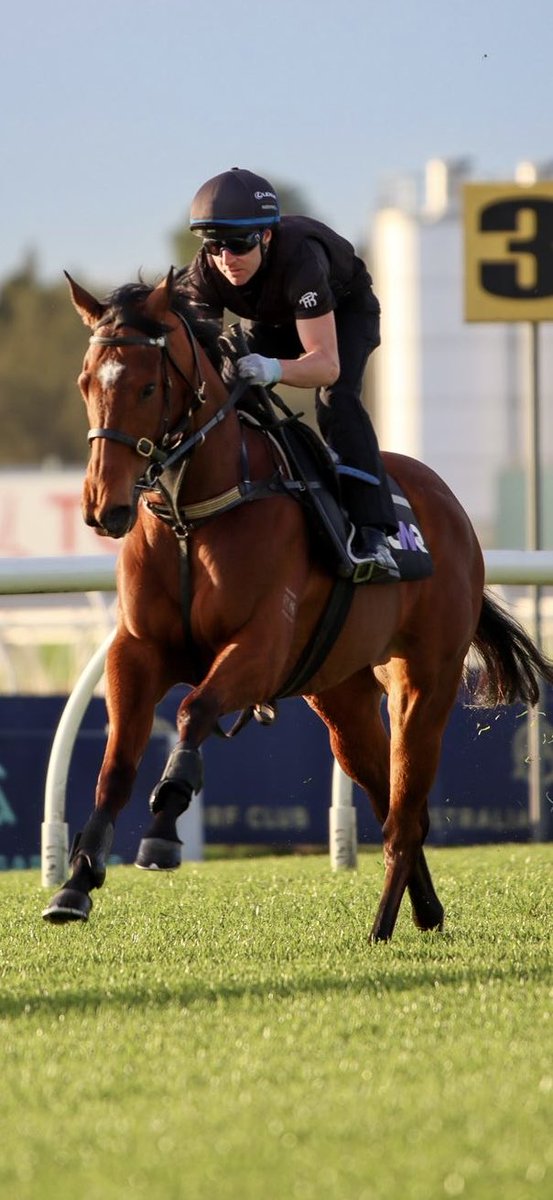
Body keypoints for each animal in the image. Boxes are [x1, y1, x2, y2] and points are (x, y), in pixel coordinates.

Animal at [42, 268, 553, 940]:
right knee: (392, 801)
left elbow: (194, 711)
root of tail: (453, 509)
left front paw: (163, 829)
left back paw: (382, 926)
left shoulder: (260, 645)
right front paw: (75, 883)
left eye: (148, 385)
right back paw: (425, 911)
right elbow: (116, 763)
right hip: (341, 696)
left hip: (425, 682)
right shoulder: (137, 650)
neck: (192, 517)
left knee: (407, 812)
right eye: (85, 381)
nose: (105, 507)